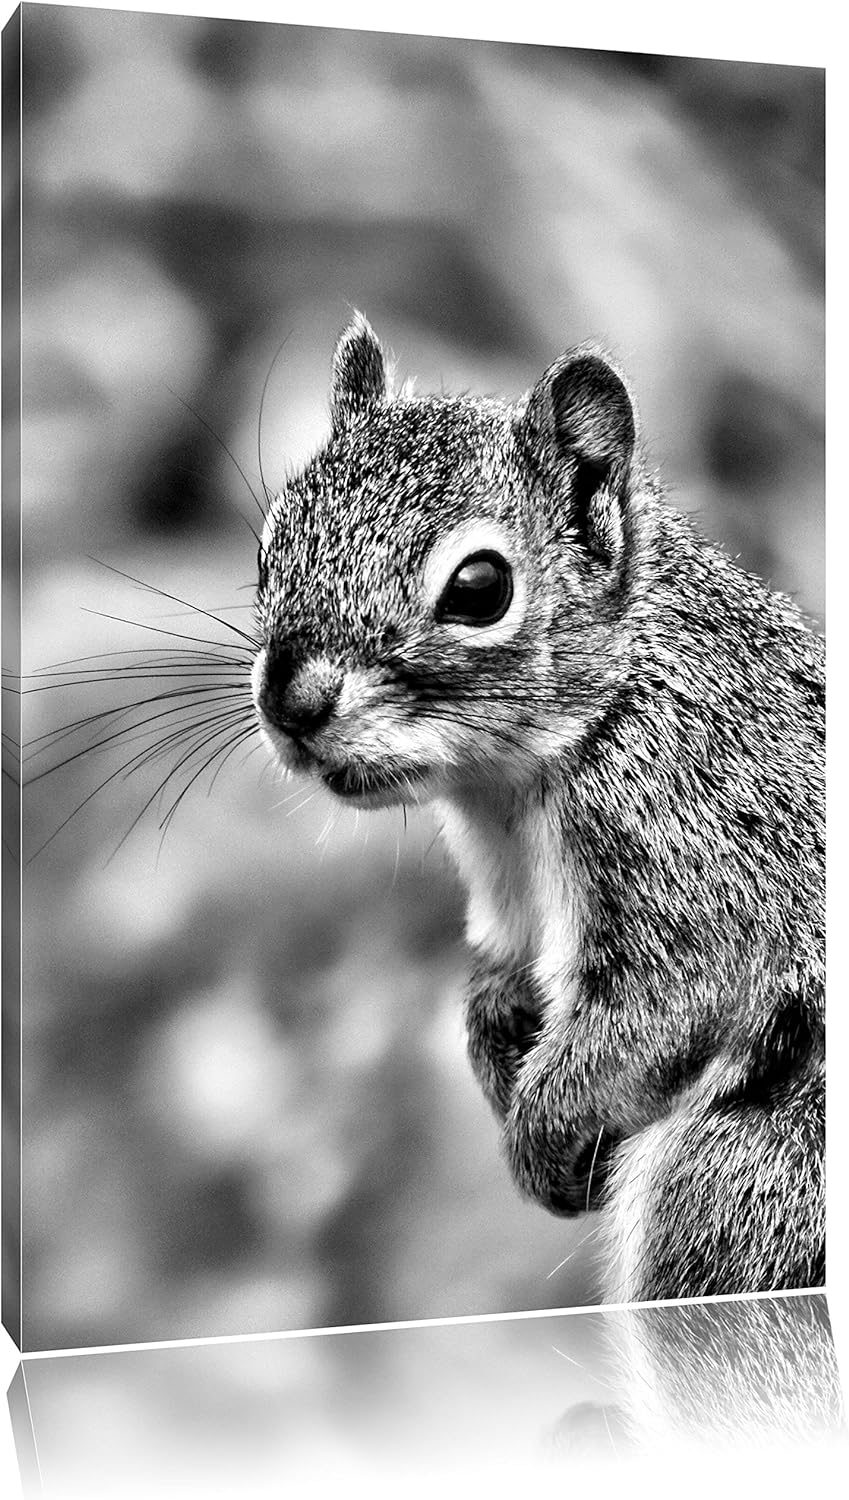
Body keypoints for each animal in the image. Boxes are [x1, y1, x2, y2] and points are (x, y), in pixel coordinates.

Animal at [251, 312, 824, 1304]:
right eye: (266, 548)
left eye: (479, 588)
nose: (290, 703)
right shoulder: (507, 907)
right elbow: (495, 990)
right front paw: (496, 1049)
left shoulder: (698, 858)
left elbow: (659, 1011)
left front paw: (544, 1141)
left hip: (742, 1183)